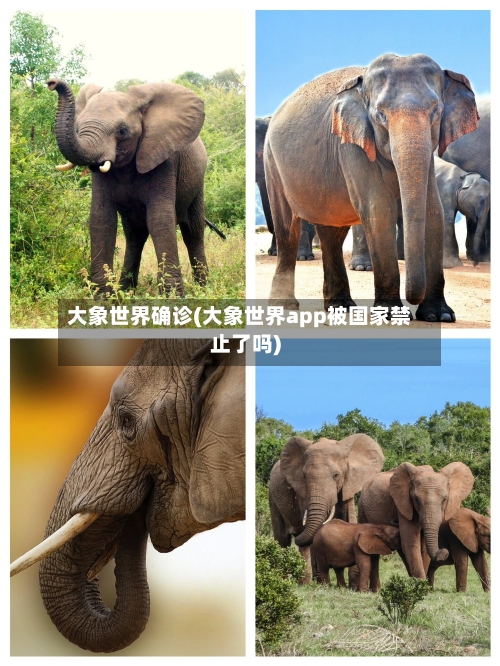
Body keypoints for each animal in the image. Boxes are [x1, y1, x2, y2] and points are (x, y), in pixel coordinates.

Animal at [48, 78, 209, 295]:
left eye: (122, 131)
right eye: (78, 128)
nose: (52, 82)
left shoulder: (164, 159)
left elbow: (160, 219)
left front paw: (173, 296)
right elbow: (101, 218)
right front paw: (103, 297)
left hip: (198, 183)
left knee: (193, 231)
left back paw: (204, 288)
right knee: (135, 234)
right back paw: (126, 290)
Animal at [264, 54, 479, 322]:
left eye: (435, 112)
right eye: (380, 115)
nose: (412, 302)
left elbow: (433, 213)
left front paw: (438, 316)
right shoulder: (351, 145)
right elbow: (379, 211)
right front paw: (391, 315)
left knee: (332, 233)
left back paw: (341, 307)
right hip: (272, 163)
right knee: (287, 229)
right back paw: (284, 306)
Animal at [268, 434, 384, 582]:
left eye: (336, 476)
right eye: (304, 476)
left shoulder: (348, 485)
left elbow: (350, 520)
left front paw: (353, 583)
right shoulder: (302, 492)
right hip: (272, 497)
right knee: (283, 540)